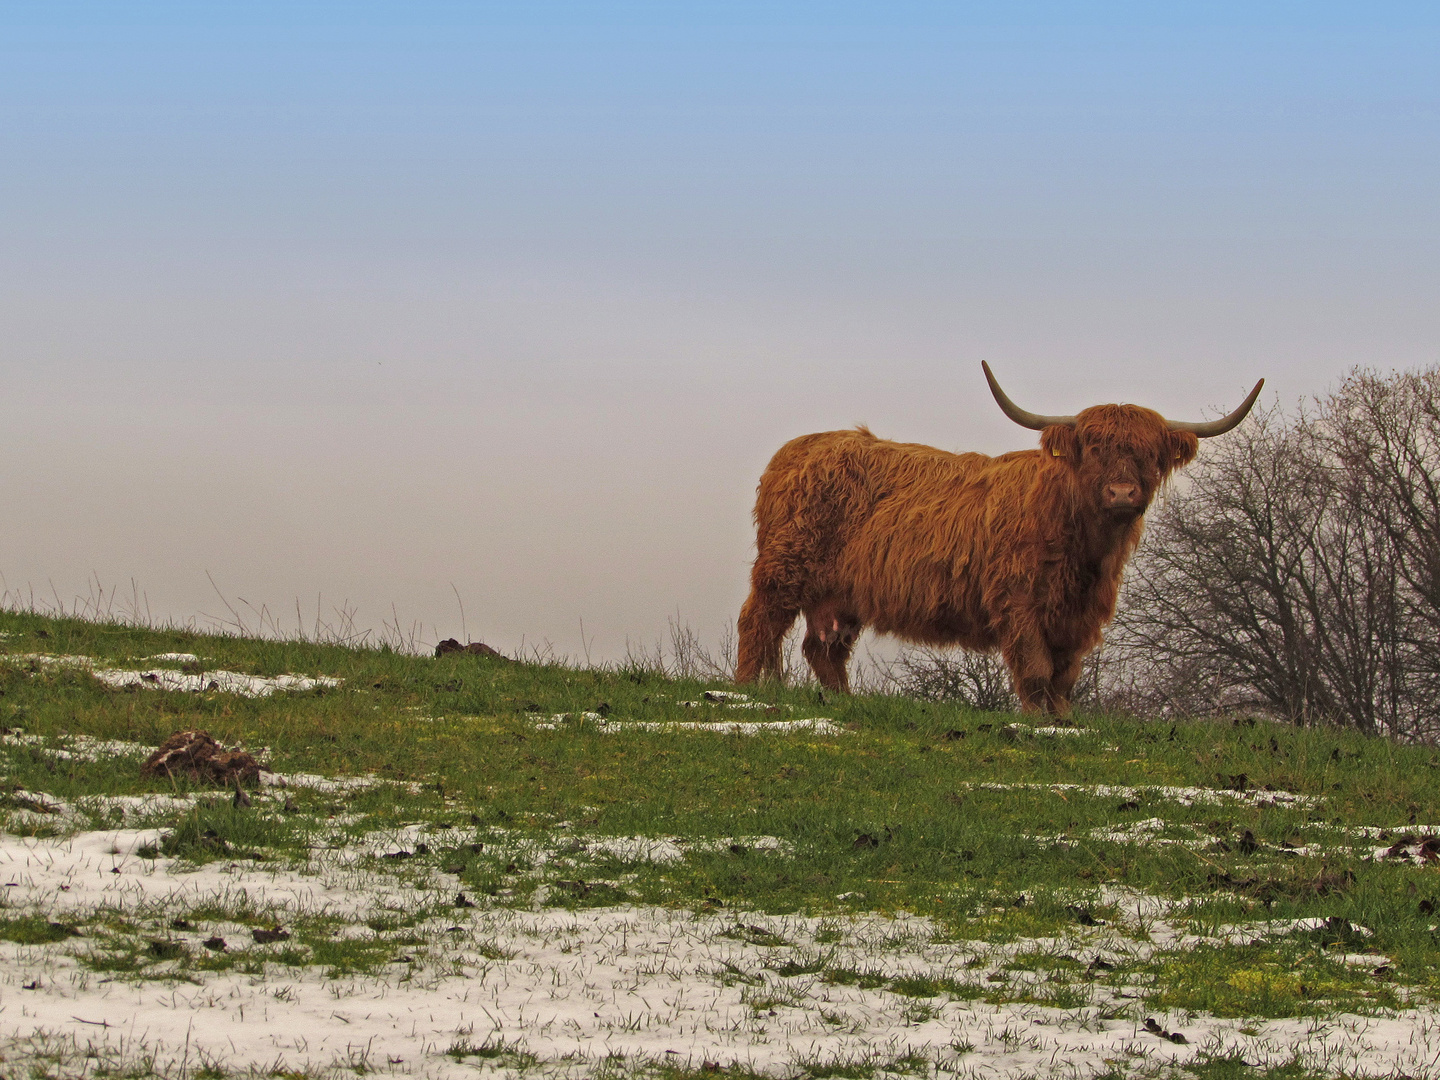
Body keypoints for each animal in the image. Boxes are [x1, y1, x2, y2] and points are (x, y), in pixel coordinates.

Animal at [737, 365, 1267, 720]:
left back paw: (845, 704)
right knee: (757, 624)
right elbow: (1035, 670)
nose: (1121, 493)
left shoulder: (1079, 616)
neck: (1087, 551)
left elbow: (1064, 678)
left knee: (823, 648)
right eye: (1094, 449)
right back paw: (745, 691)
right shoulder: (1018, 602)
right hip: (784, 569)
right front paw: (1036, 722)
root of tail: (799, 447)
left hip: (839, 595)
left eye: (1148, 453)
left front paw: (1064, 721)